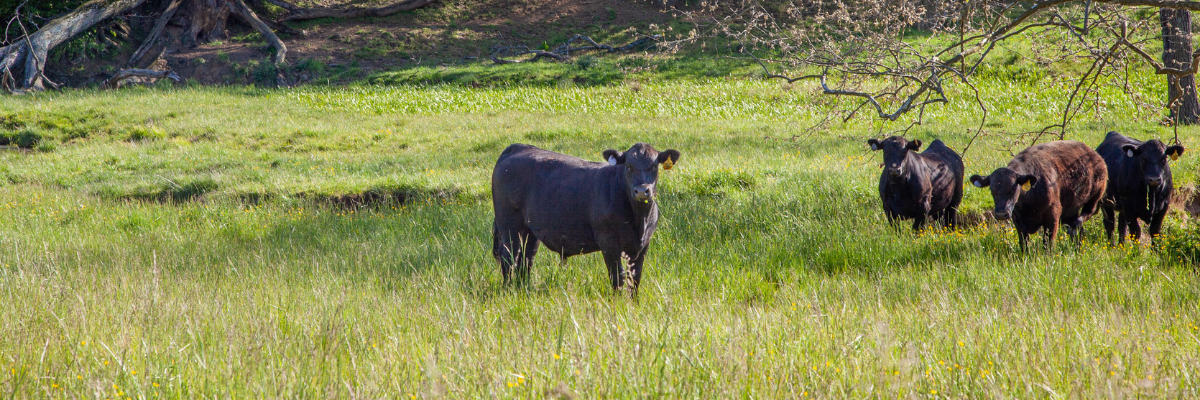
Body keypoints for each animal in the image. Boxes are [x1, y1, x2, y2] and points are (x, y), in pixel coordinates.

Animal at [487, 142, 676, 289]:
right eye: (628, 166)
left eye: (654, 166)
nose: (642, 191)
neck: (639, 220)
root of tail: (517, 147)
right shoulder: (608, 242)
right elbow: (618, 277)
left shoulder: (644, 244)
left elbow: (635, 278)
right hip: (509, 226)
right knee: (508, 257)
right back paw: (508, 289)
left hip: (530, 230)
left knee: (526, 259)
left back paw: (523, 288)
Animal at [964, 141, 1104, 249]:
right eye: (992, 190)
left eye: (1013, 189)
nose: (1001, 214)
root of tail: (1094, 155)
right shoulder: (1018, 222)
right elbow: (1024, 245)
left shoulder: (1053, 216)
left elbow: (1048, 244)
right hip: (1071, 209)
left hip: (1095, 197)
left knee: (1086, 214)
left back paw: (1075, 227)